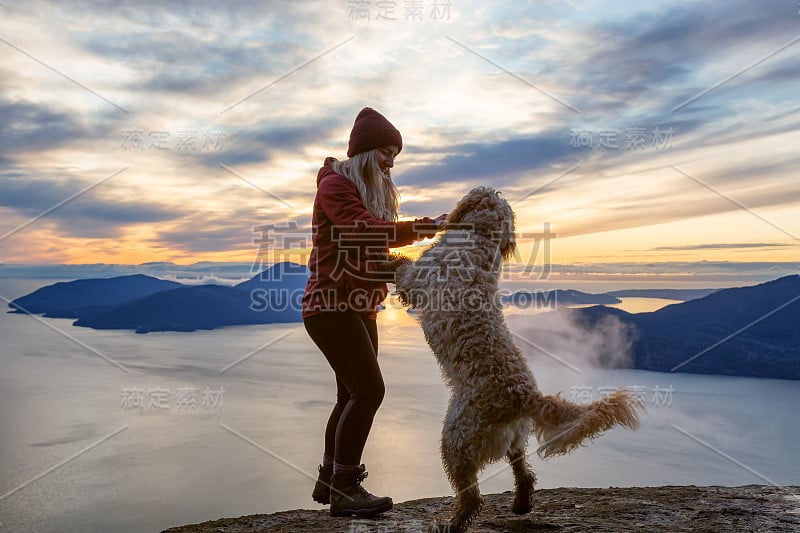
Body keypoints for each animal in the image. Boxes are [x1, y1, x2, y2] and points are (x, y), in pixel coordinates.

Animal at [388, 185, 644, 528]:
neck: (481, 237)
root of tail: (523, 395)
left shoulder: (416, 279)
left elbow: (402, 268)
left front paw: (388, 257)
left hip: (456, 440)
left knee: (472, 497)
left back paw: (453, 523)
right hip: (513, 438)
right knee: (525, 474)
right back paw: (521, 503)